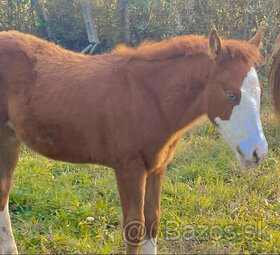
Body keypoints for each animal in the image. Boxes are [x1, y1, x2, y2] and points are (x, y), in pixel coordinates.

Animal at [0, 29, 268, 253]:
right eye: (231, 95)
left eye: (260, 92)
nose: (258, 153)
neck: (149, 98)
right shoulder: (129, 168)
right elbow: (134, 227)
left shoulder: (157, 167)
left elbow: (152, 221)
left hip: (10, 139)